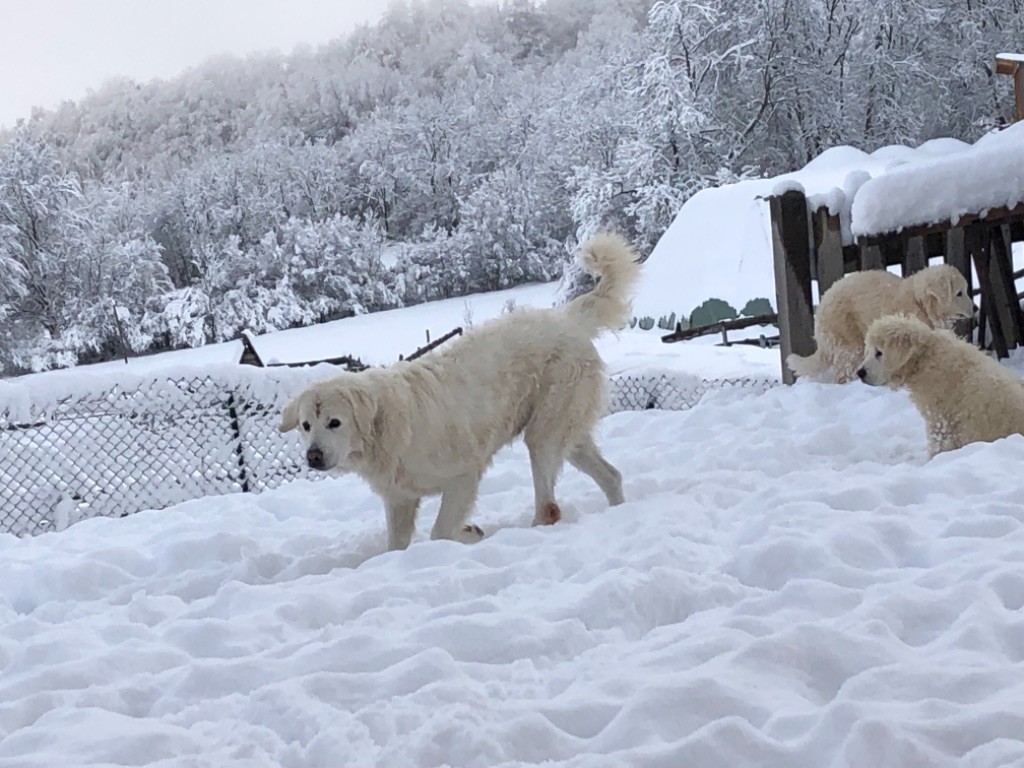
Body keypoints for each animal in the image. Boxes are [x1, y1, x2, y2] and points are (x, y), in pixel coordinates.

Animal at [276, 234, 634, 552]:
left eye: (334, 422)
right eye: (306, 426)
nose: (313, 457)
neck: (383, 428)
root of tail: (567, 317)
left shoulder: (463, 475)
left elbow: (441, 531)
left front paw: (470, 534)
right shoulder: (400, 499)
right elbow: (396, 546)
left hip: (544, 434)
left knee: (549, 507)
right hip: (566, 434)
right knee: (612, 475)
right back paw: (618, 509)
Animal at [790, 266, 974, 382]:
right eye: (959, 293)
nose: (976, 308)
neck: (919, 302)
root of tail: (822, 303)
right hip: (848, 342)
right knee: (843, 372)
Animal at [856, 313, 1024, 456]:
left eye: (879, 353)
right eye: (869, 351)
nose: (860, 373)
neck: (925, 357)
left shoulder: (939, 419)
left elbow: (938, 444)